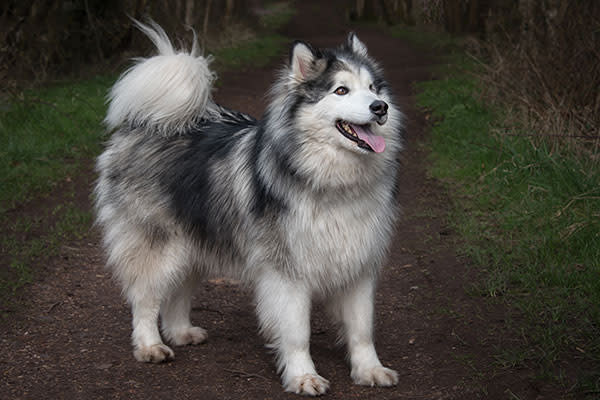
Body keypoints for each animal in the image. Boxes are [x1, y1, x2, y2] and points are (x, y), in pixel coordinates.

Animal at [95, 22, 404, 396]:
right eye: (341, 90)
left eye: (373, 88)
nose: (380, 107)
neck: (331, 182)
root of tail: (149, 121)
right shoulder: (287, 272)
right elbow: (297, 332)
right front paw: (303, 375)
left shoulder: (358, 264)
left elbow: (362, 329)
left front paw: (369, 369)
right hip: (159, 246)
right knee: (145, 298)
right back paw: (150, 345)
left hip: (194, 243)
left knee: (178, 292)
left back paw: (181, 332)